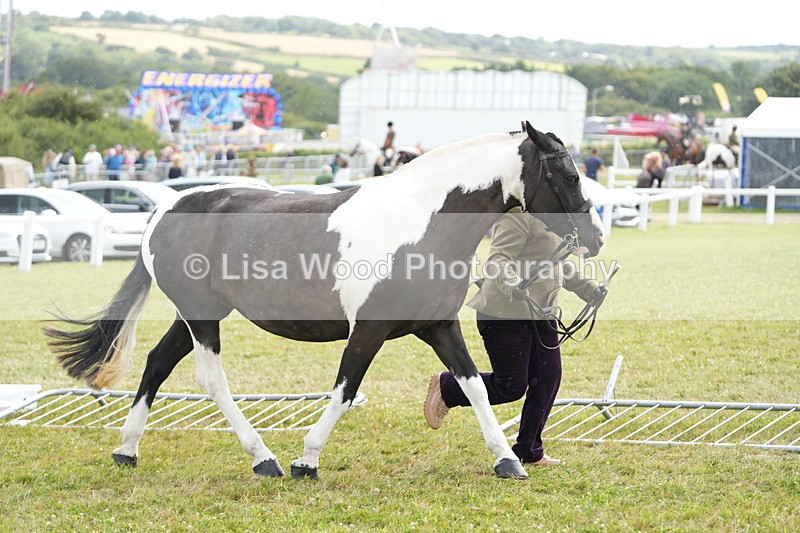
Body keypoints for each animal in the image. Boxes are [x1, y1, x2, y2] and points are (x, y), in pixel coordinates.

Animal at [45, 122, 604, 481]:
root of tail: (166, 207)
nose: (596, 238)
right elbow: (346, 390)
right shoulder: (369, 329)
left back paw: (127, 450)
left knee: (158, 363)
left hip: (196, 316)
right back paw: (265, 459)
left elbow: (475, 386)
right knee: (210, 380)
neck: (421, 223)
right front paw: (306, 461)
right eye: (570, 175)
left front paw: (507, 461)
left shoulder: (440, 326)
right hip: (202, 319)